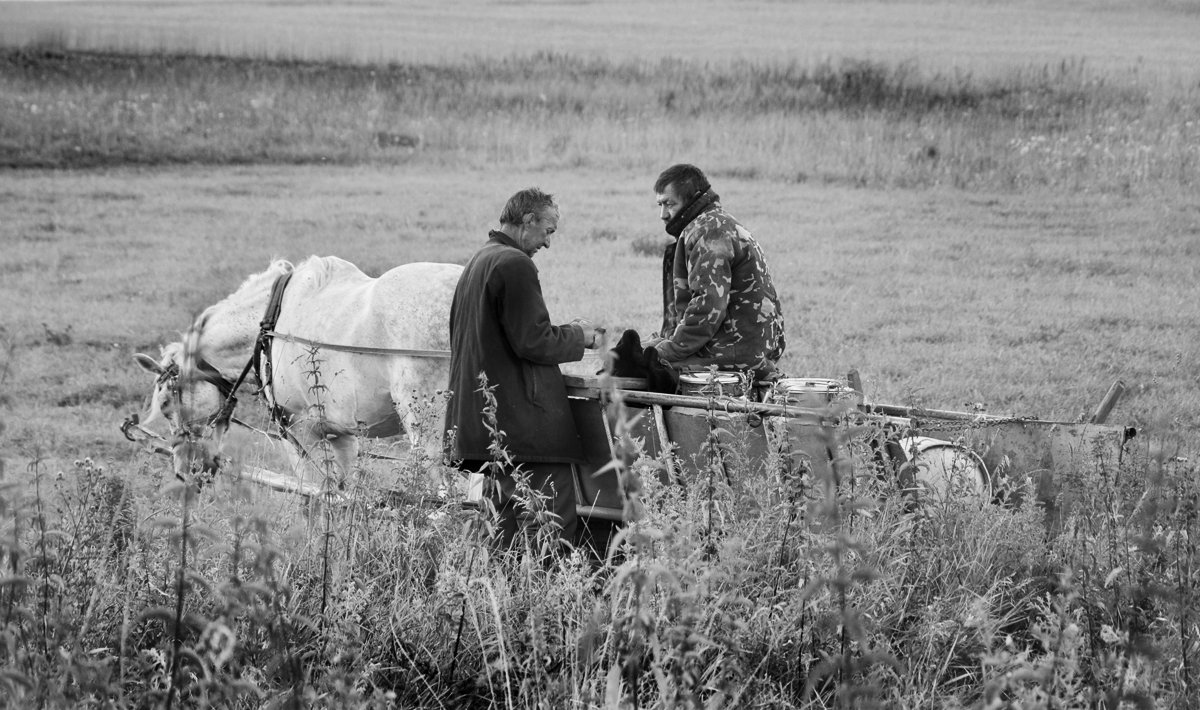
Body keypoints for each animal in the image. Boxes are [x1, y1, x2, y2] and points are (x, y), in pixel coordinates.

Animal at [132, 255, 463, 482]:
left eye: (167, 404)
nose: (184, 470)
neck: (273, 326)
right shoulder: (341, 435)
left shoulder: (300, 432)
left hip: (429, 433)